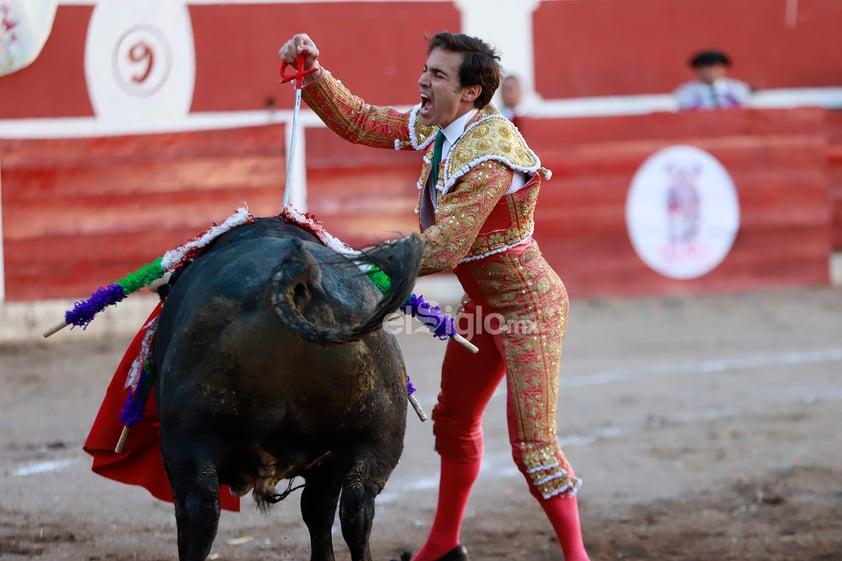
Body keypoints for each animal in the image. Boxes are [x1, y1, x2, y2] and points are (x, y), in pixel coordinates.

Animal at [148, 218, 426, 560]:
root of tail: (296, 274)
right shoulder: (331, 461)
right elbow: (318, 511)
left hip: (188, 444)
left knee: (199, 511)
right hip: (375, 437)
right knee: (355, 510)